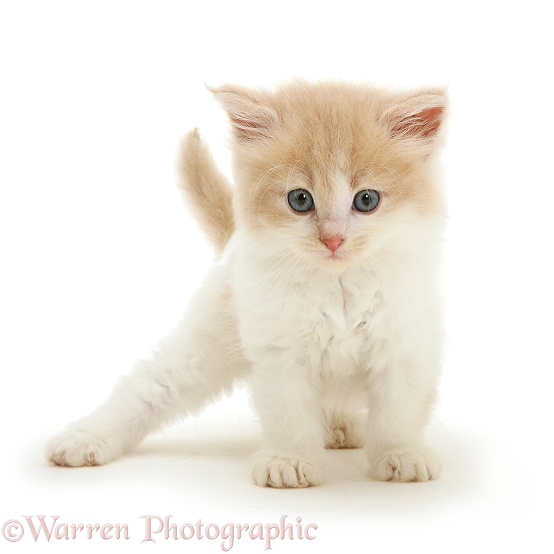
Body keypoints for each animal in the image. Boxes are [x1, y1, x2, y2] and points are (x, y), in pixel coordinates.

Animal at [45, 80, 446, 486]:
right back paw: (85, 439)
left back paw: (339, 426)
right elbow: (289, 415)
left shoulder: (404, 346)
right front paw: (290, 460)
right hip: (203, 346)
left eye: (366, 200)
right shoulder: (278, 352)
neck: (338, 286)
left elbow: (398, 412)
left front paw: (401, 454)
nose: (333, 240)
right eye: (300, 199)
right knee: (146, 389)